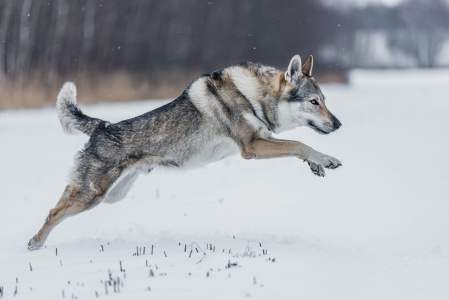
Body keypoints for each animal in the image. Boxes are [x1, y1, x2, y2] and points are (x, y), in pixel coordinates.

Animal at [28, 55, 342, 250]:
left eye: (325, 101)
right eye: (314, 102)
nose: (338, 124)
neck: (254, 95)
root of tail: (102, 126)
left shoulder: (264, 138)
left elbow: (298, 147)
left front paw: (318, 164)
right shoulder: (252, 147)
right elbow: (299, 144)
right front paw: (328, 159)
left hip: (109, 196)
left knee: (61, 198)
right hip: (95, 196)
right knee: (54, 212)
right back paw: (34, 245)